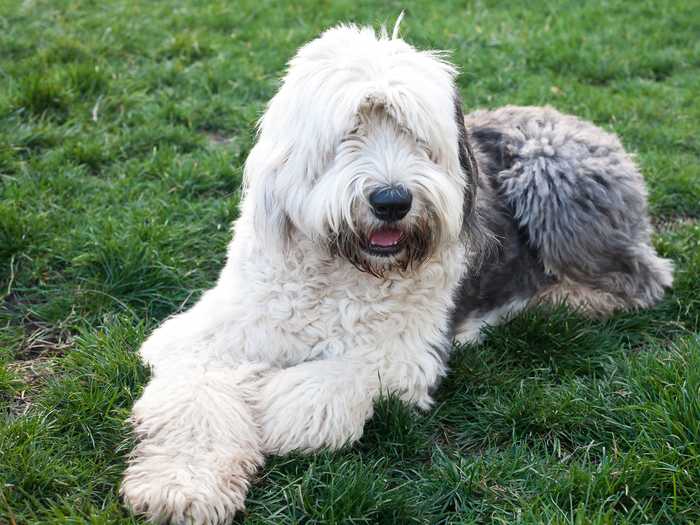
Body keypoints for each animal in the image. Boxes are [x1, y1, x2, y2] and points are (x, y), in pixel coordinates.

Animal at [120, 21, 672, 524]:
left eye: (415, 135)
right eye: (350, 130)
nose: (392, 201)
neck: (342, 272)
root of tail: (584, 122)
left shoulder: (407, 352)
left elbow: (335, 381)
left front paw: (277, 407)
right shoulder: (208, 335)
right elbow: (195, 399)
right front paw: (182, 489)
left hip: (552, 178)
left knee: (643, 278)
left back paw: (548, 302)